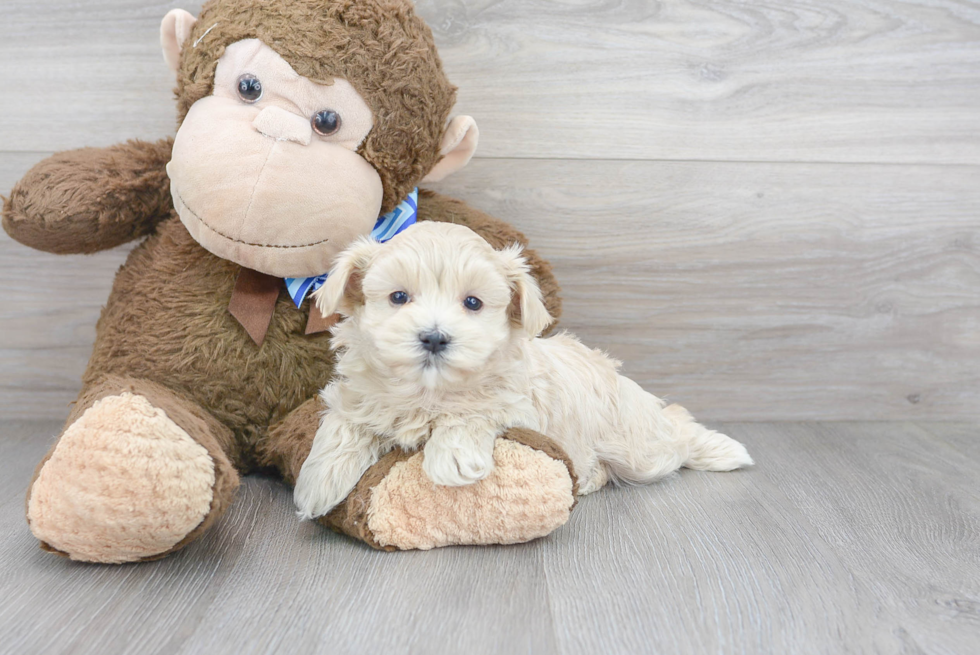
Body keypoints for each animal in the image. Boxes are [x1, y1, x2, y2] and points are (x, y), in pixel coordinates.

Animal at [290, 223, 752, 520]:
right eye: (399, 297)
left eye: (473, 303)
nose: (435, 338)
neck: (430, 390)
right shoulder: (359, 397)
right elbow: (344, 425)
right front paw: (319, 481)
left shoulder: (516, 402)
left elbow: (472, 412)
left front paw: (450, 458)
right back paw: (589, 477)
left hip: (639, 445)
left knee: (676, 431)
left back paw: (723, 449)